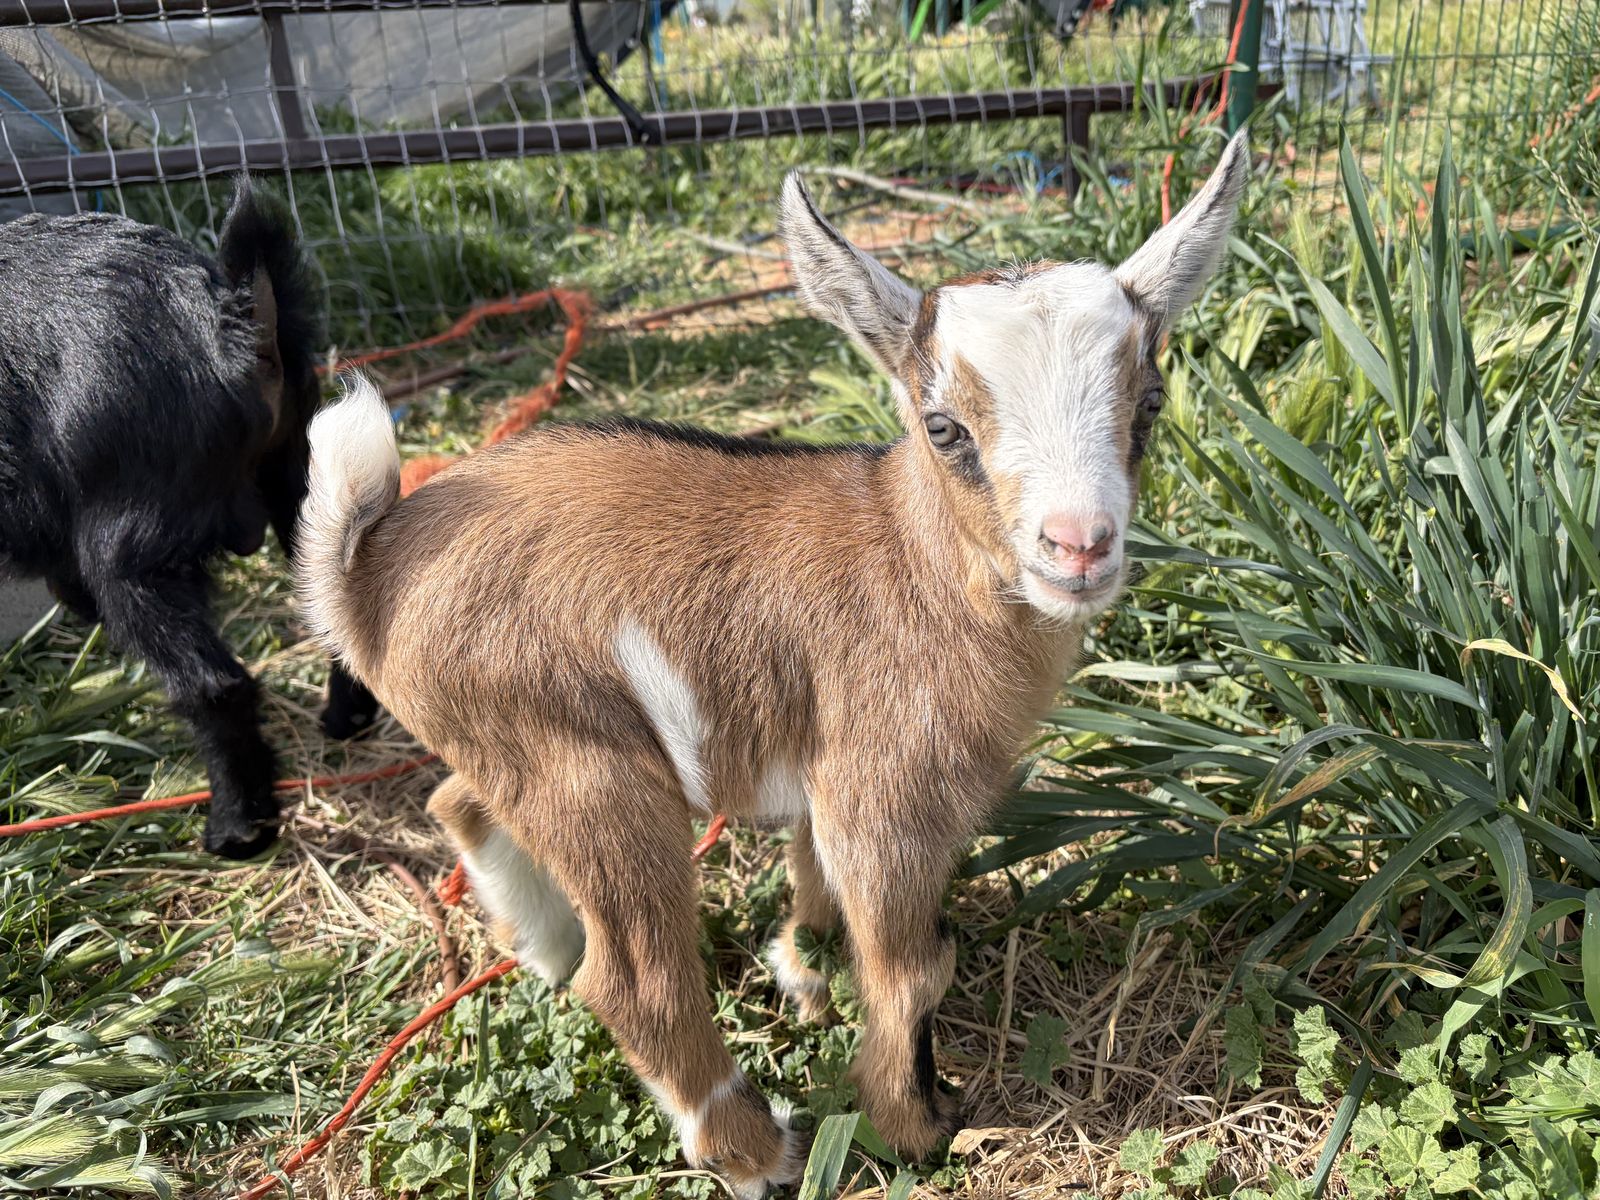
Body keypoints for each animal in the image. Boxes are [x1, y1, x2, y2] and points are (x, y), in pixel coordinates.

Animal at [0, 179, 379, 859]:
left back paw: (237, 828)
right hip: (300, 477)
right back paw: (345, 720)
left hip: (128, 547)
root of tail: (225, 322)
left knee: (213, 685)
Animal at [296, 134, 1248, 1196]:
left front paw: (802, 969)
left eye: (1151, 402)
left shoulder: (825, 775)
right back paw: (754, 1150)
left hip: (516, 740)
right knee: (634, 979)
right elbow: (911, 968)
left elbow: (813, 874)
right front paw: (914, 1125)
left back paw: (546, 946)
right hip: (590, 769)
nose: (1078, 547)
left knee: (457, 801)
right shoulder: (889, 792)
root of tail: (367, 570)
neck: (911, 558)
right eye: (945, 427)